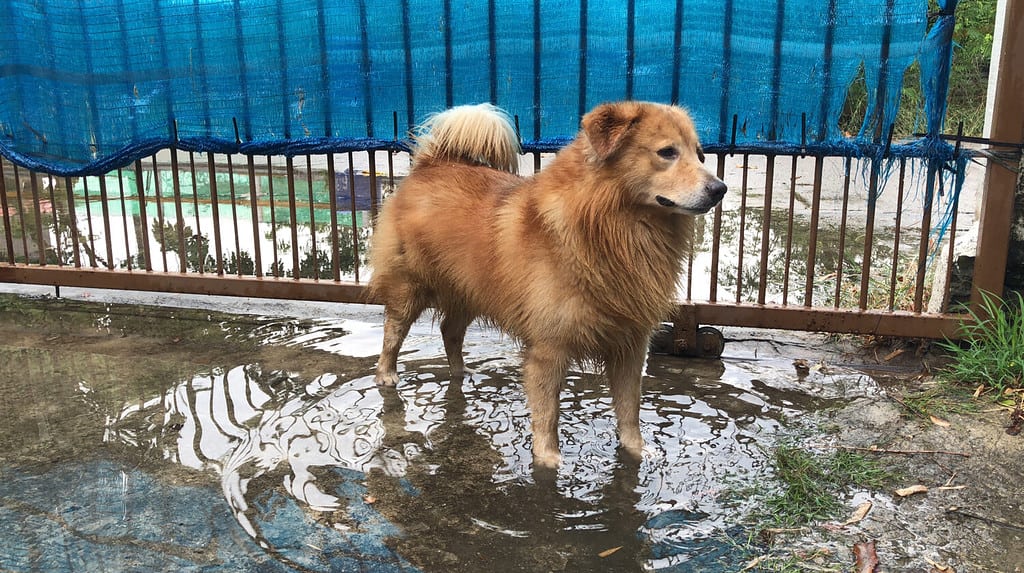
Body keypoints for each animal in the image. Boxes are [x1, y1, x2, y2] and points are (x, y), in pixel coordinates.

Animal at [368, 100, 729, 468]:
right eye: (667, 152)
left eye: (700, 154)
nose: (720, 189)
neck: (613, 227)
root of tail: (432, 163)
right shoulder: (549, 349)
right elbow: (548, 413)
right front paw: (549, 460)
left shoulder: (629, 345)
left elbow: (630, 410)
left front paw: (636, 451)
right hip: (409, 289)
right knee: (393, 333)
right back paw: (387, 375)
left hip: (469, 291)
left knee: (449, 332)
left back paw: (460, 372)